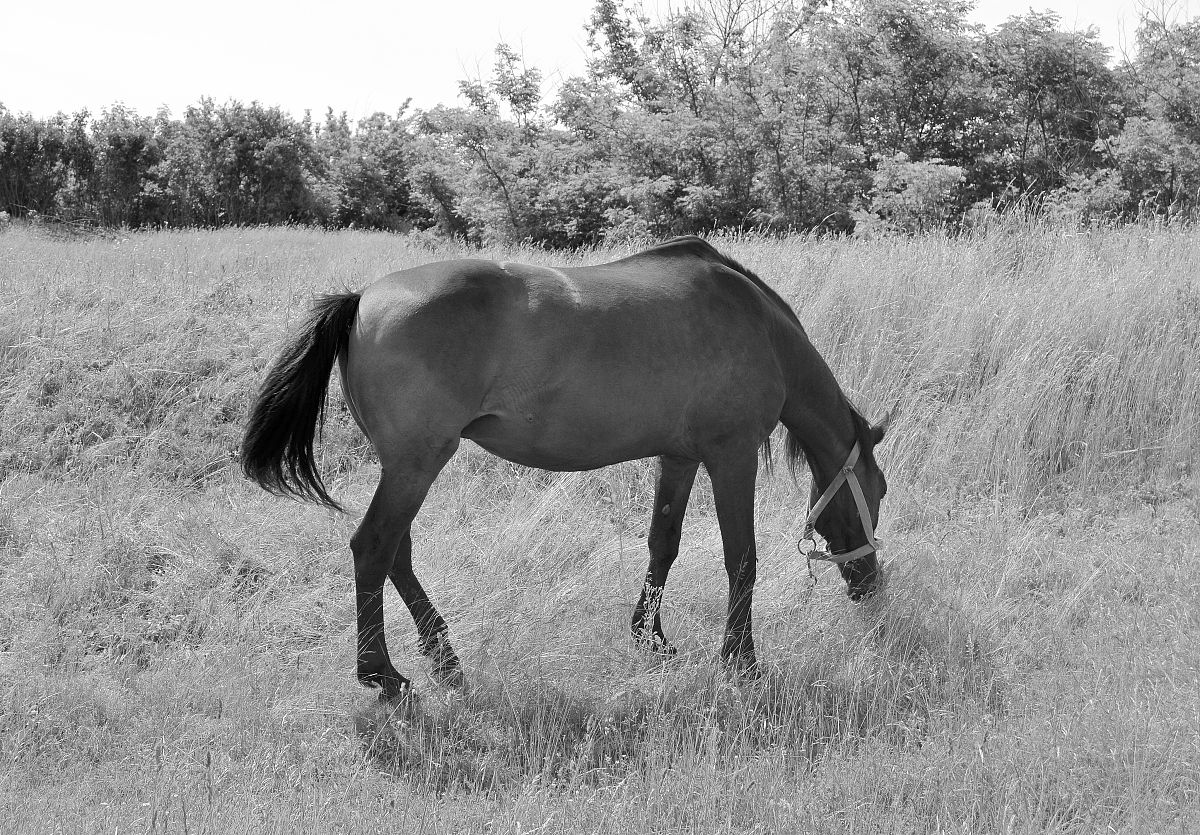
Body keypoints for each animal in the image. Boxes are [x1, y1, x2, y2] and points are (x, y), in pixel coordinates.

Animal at [241, 236, 888, 700]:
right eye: (877, 492)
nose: (869, 585)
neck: (760, 329)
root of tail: (361, 301)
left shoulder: (679, 457)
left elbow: (664, 543)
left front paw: (650, 638)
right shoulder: (730, 457)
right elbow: (742, 558)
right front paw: (741, 661)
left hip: (408, 467)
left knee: (396, 552)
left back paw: (444, 658)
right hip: (417, 462)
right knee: (374, 546)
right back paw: (383, 674)